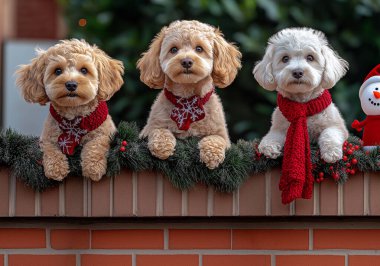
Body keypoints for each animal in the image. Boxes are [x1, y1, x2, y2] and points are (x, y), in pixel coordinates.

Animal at [16, 39, 123, 181]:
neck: (73, 119)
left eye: (84, 70)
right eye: (57, 71)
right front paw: (56, 168)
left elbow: (96, 144)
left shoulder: (106, 133)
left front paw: (93, 167)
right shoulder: (47, 137)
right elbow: (51, 149)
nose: (71, 84)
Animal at [138, 20, 242, 168]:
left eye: (199, 49)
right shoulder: (149, 128)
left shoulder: (223, 135)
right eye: (173, 50)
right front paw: (162, 146)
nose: (186, 61)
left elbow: (216, 138)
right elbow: (158, 130)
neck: (187, 101)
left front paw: (212, 155)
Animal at [254, 28, 348, 163]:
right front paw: (269, 147)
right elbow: (272, 136)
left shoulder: (338, 126)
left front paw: (331, 152)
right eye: (285, 59)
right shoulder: (279, 127)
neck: (303, 103)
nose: (297, 72)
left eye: (310, 57)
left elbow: (330, 133)